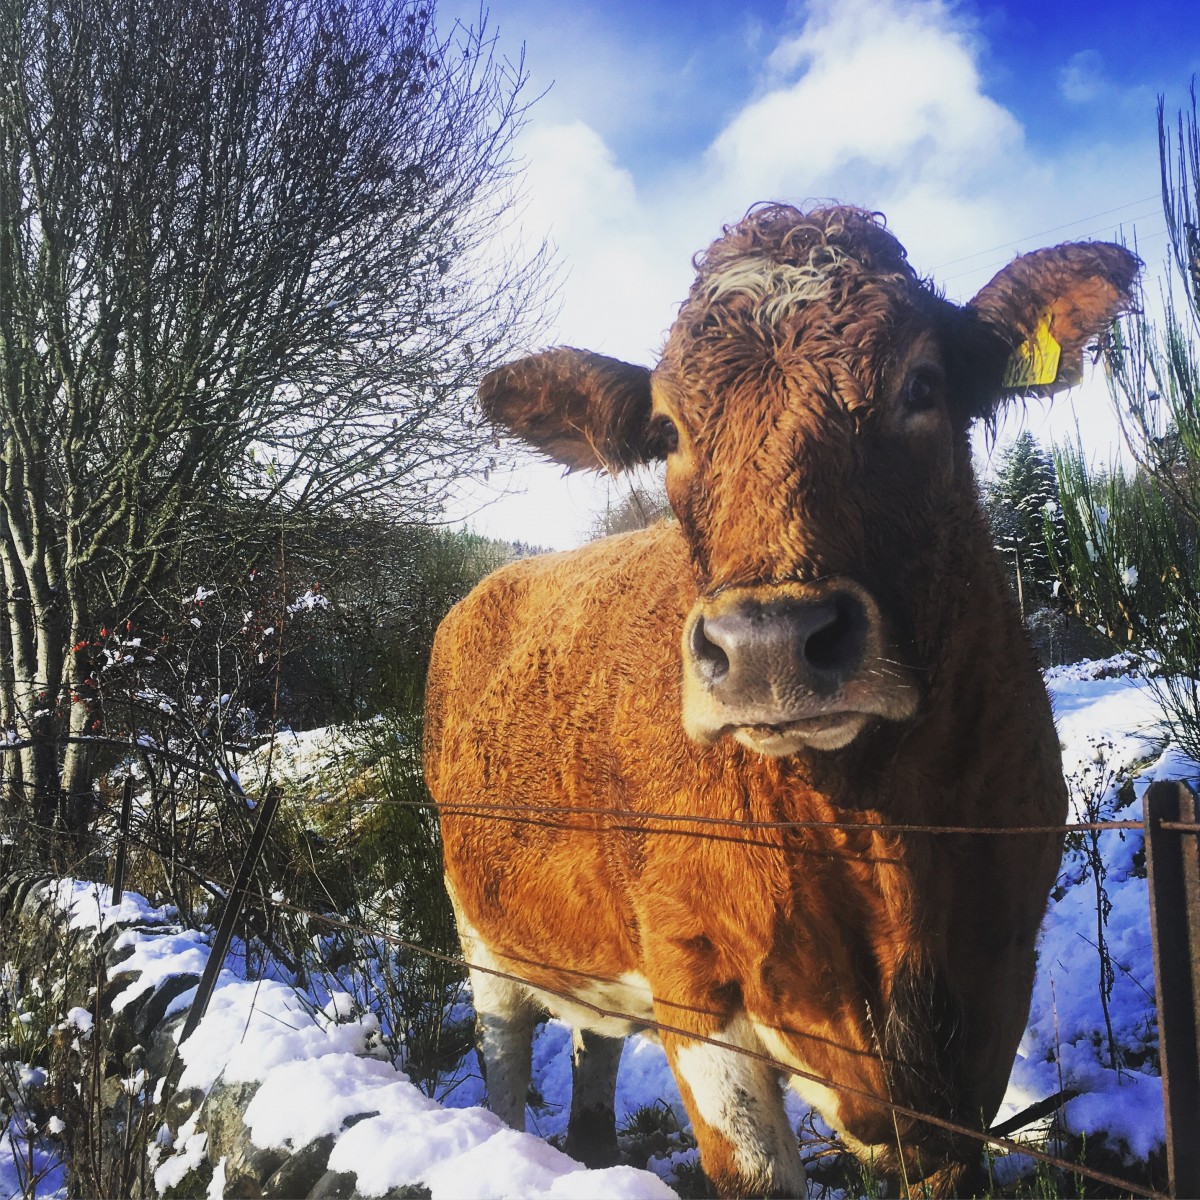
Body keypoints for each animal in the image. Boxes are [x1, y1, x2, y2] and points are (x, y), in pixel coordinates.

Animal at [423, 205, 1138, 1197]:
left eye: (922, 384)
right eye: (669, 429)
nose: (767, 643)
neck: (877, 834)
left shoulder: (989, 992)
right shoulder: (695, 985)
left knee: (595, 1046)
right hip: (482, 931)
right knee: (504, 1054)